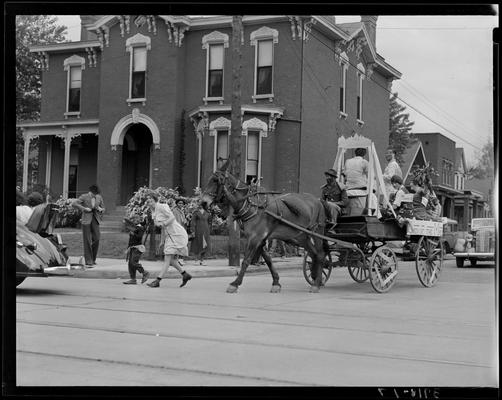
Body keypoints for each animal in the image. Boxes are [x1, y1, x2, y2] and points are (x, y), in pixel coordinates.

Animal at [200, 162, 330, 294]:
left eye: (216, 180)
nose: (203, 202)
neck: (252, 204)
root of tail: (318, 201)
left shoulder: (255, 237)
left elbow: (246, 260)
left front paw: (235, 283)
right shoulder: (260, 239)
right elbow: (268, 260)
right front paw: (276, 282)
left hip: (316, 231)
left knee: (320, 254)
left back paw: (316, 283)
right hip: (300, 236)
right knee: (313, 254)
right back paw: (315, 277)